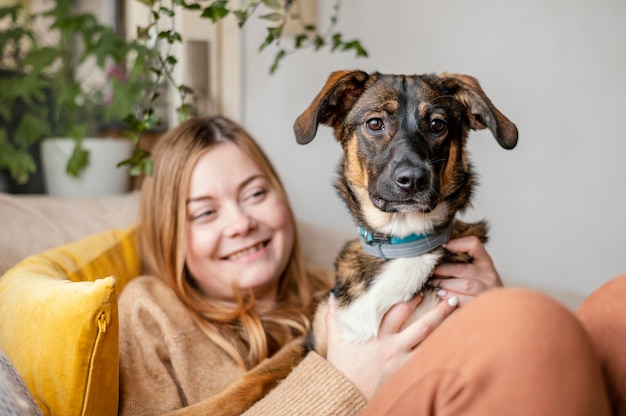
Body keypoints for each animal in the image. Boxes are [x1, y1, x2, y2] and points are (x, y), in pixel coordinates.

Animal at [199, 70, 516, 414]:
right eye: (375, 123)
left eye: (437, 125)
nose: (414, 180)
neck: (399, 245)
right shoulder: (311, 341)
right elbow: (255, 376)